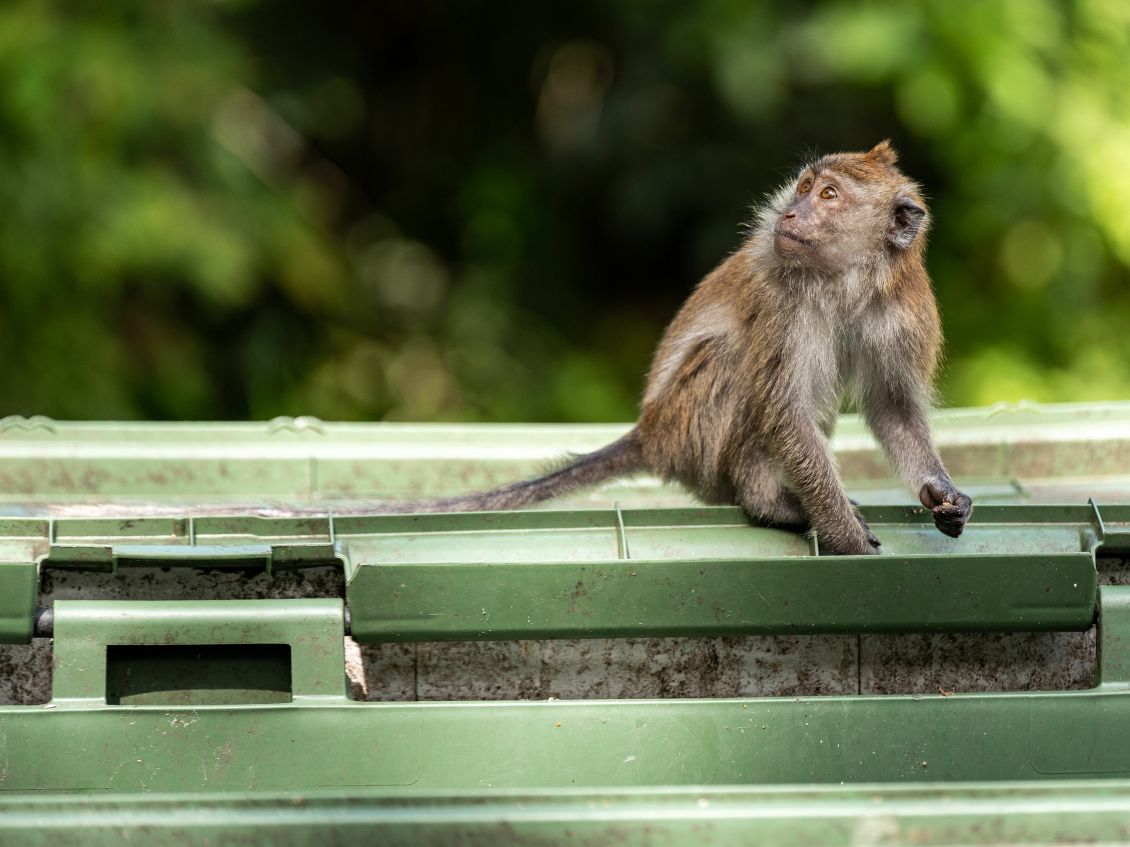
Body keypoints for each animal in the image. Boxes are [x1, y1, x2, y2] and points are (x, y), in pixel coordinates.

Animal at [39, 142, 967, 553]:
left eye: (831, 194)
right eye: (803, 188)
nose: (791, 214)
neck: (846, 281)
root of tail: (651, 430)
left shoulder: (902, 311)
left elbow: (891, 407)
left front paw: (938, 493)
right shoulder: (785, 293)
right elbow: (783, 407)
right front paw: (841, 529)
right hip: (693, 426)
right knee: (735, 364)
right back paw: (764, 495)